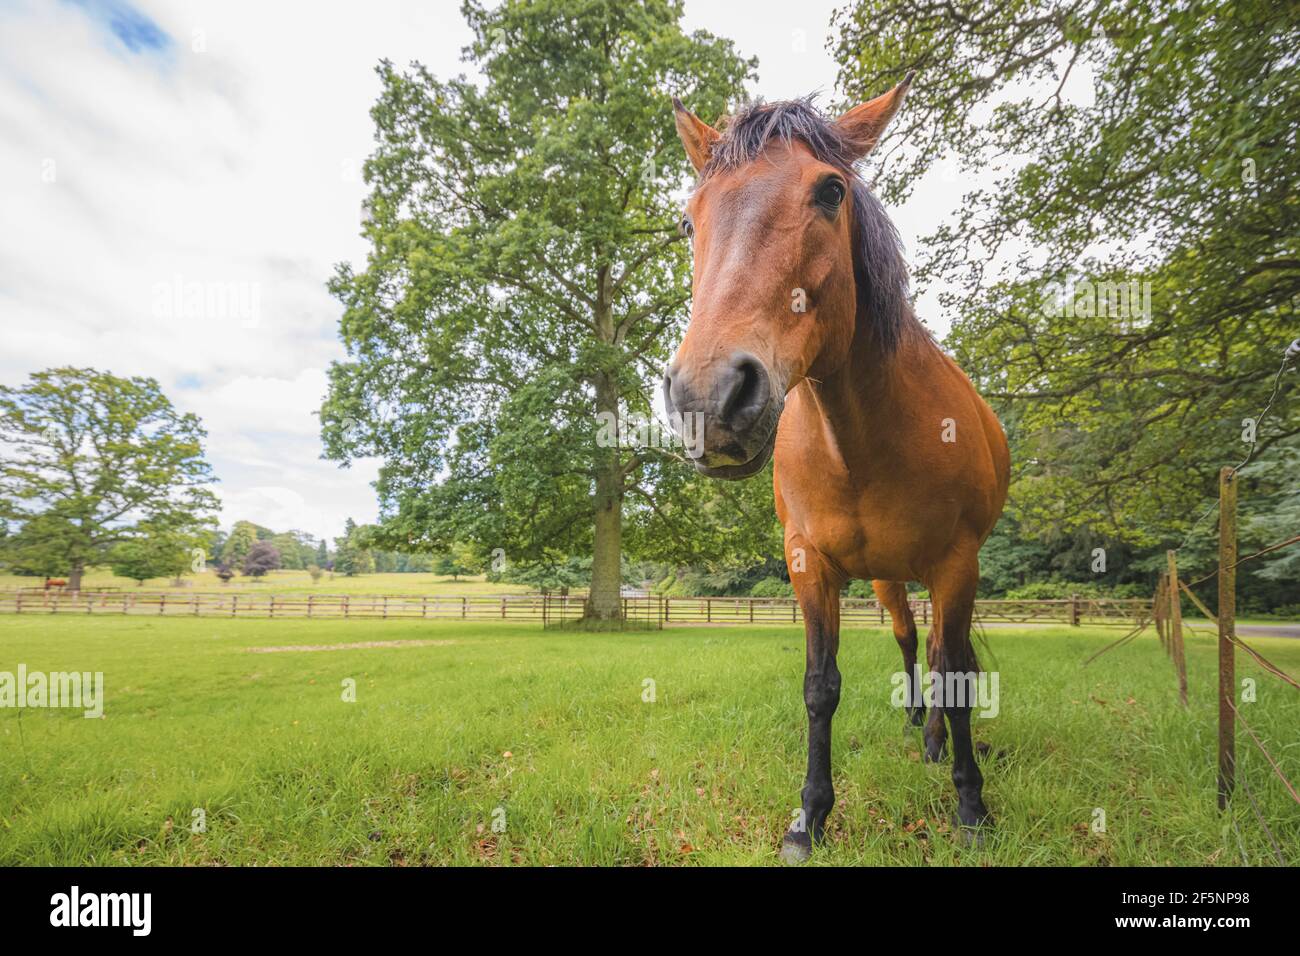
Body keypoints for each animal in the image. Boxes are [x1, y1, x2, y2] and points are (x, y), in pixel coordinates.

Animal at [664, 74, 1010, 861]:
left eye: (829, 191)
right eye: (690, 221)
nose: (707, 398)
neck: (863, 437)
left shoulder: (958, 563)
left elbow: (956, 673)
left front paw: (971, 807)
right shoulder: (808, 564)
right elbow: (820, 686)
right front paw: (810, 816)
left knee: (943, 656)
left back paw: (937, 744)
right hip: (887, 579)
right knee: (913, 642)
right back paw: (919, 727)